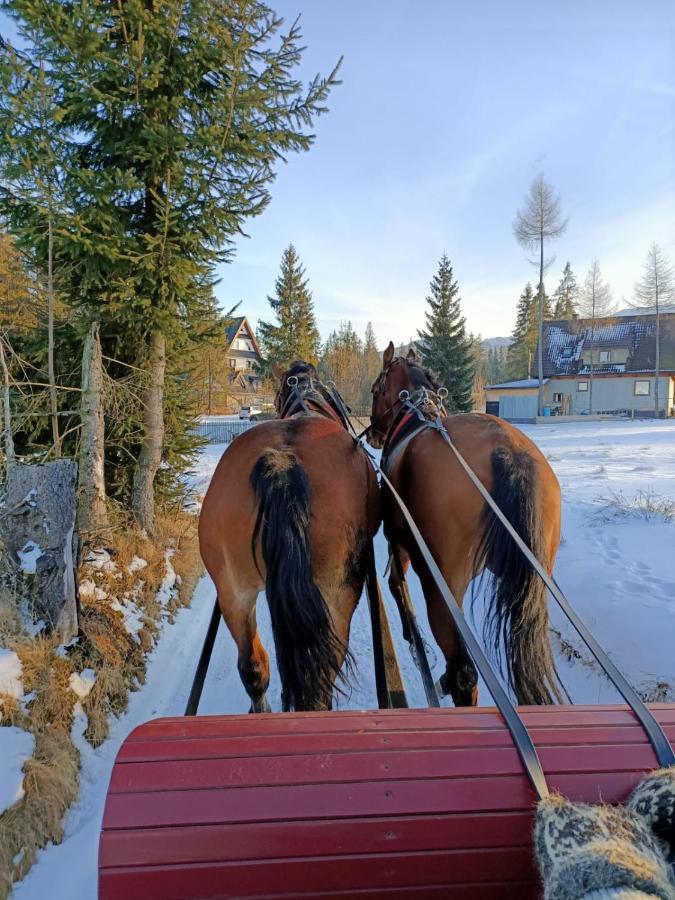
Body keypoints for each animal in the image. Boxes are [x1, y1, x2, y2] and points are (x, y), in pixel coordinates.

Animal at [370, 344, 564, 712]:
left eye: (375, 388)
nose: (373, 433)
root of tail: (508, 451)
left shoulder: (398, 542)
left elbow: (396, 585)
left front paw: (410, 634)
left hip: (442, 584)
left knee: (463, 671)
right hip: (529, 586)